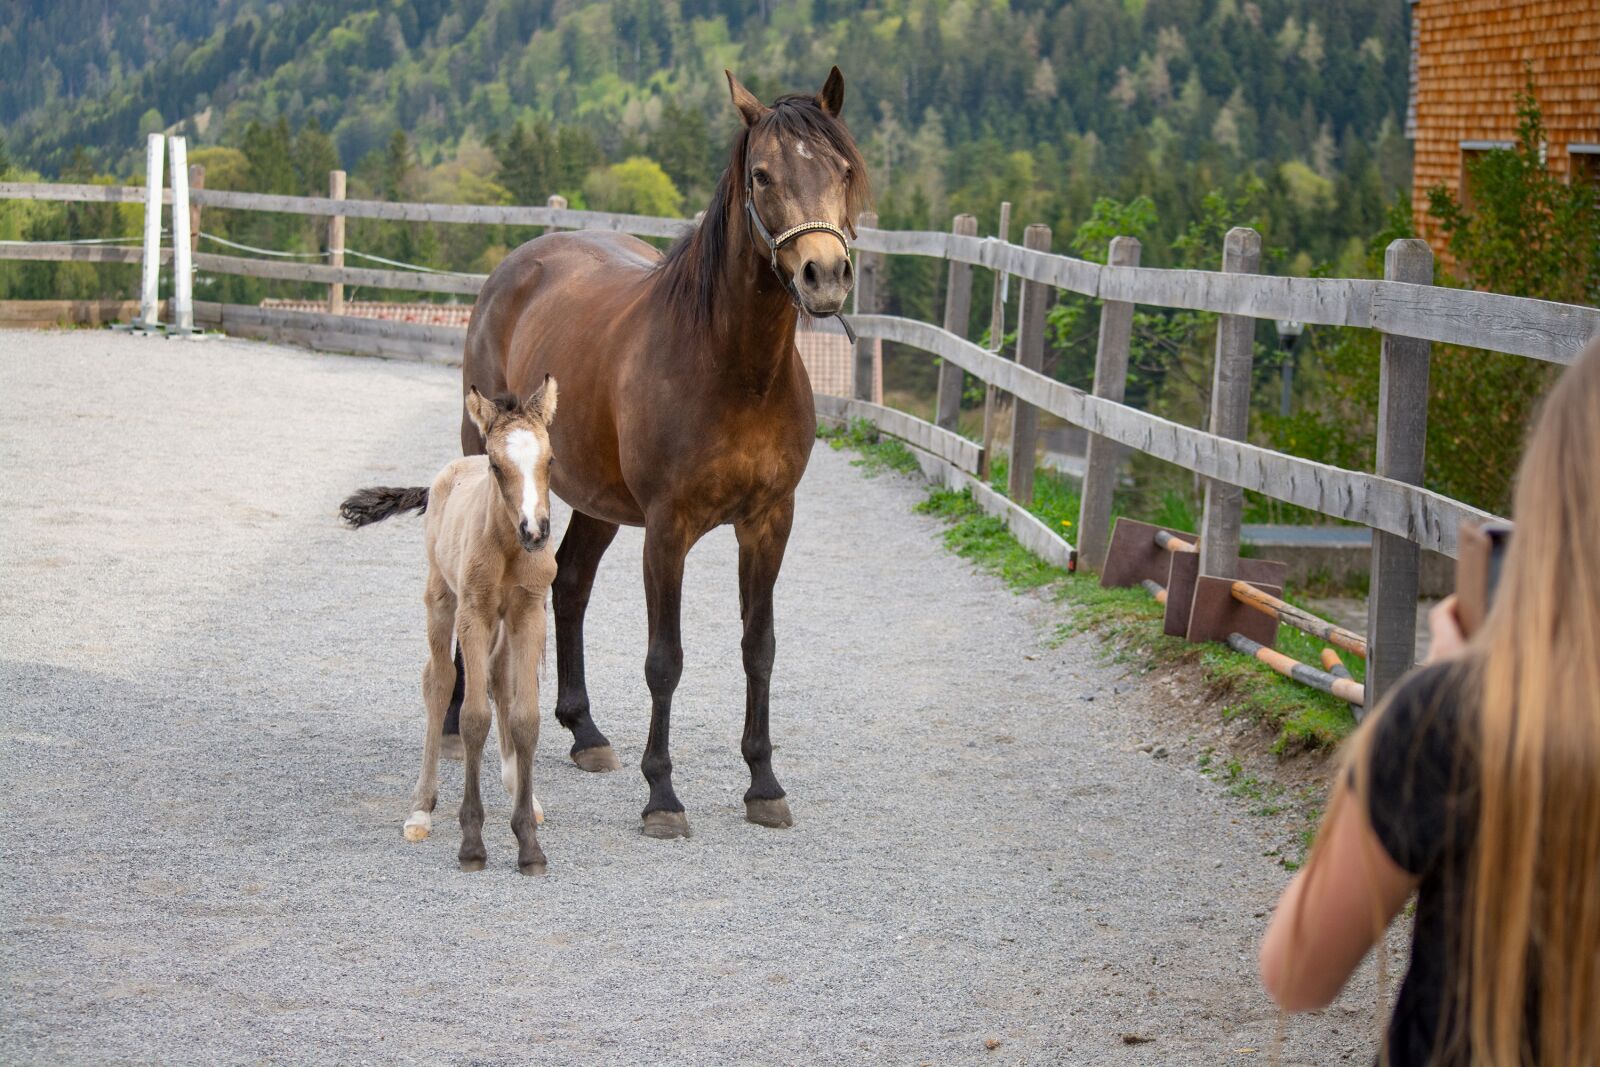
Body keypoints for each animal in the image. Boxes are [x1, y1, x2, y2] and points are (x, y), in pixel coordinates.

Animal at [457, 66, 870, 844]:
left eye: (843, 170)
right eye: (763, 174)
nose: (824, 276)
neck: (734, 367)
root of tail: (519, 263)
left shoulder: (770, 522)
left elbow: (759, 647)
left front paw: (763, 783)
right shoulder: (668, 529)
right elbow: (665, 660)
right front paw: (663, 796)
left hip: (596, 499)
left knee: (572, 584)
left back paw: (584, 731)